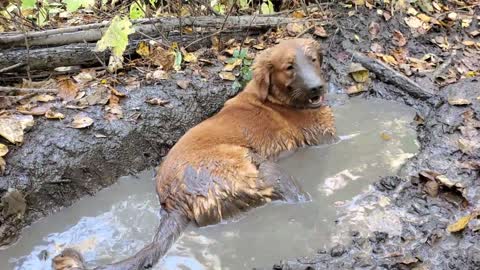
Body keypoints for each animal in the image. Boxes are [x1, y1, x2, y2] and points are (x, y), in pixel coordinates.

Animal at [53, 38, 338, 270]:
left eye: (313, 59)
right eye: (289, 67)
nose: (317, 88)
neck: (277, 100)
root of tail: (173, 202)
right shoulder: (325, 137)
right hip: (262, 167)